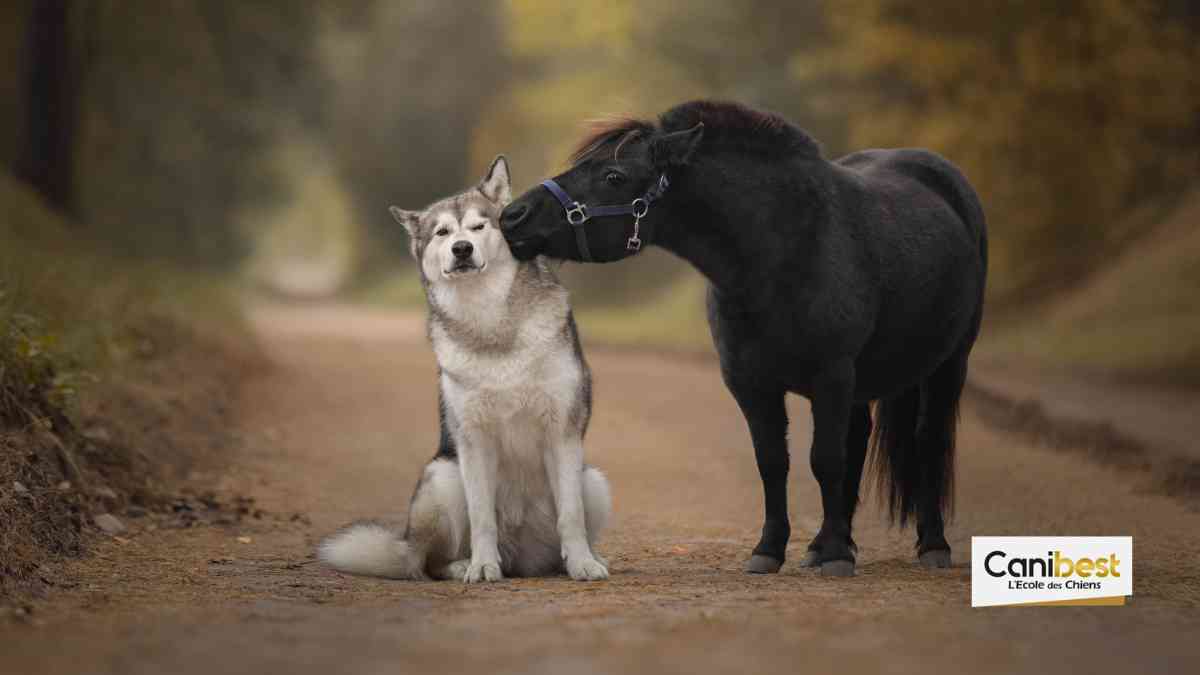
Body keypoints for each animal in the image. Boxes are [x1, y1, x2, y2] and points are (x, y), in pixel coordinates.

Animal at [499, 100, 987, 577]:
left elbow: (825, 458)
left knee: (928, 439)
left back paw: (931, 545)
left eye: (613, 176)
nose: (512, 216)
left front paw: (834, 556)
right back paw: (827, 543)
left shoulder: (830, 376)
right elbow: (773, 461)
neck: (785, 253)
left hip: (949, 364)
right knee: (859, 440)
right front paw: (773, 550)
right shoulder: (750, 383)